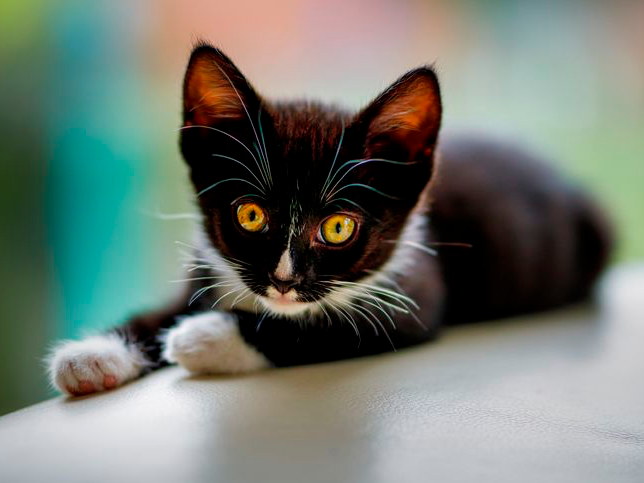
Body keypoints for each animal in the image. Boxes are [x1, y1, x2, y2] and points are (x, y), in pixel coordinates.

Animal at [47, 42, 612, 398]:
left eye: (338, 227)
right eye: (250, 214)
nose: (283, 280)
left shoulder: (414, 295)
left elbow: (323, 326)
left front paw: (202, 336)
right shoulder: (210, 267)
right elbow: (162, 310)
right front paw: (94, 355)